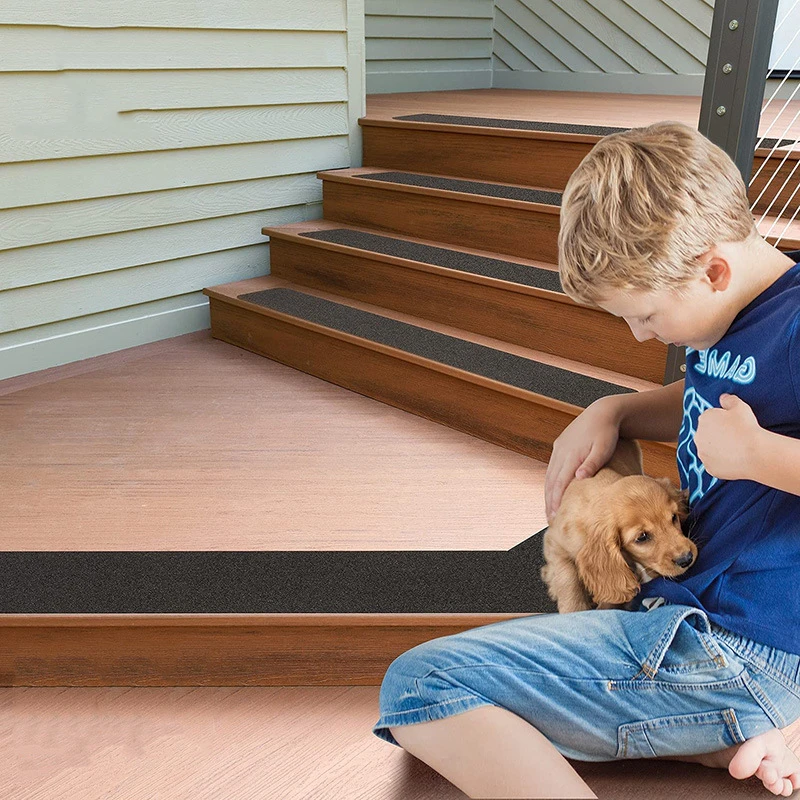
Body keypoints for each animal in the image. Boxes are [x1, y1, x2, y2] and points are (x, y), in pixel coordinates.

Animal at [544, 440, 692, 616]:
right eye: (642, 537)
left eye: (674, 517)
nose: (687, 559)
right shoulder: (555, 543)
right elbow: (568, 579)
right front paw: (574, 610)